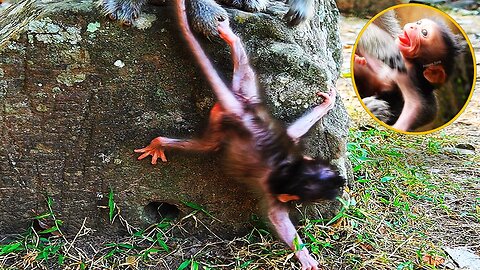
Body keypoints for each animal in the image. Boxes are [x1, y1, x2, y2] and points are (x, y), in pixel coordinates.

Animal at [134, 0, 344, 268]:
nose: (340, 187)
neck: (290, 167)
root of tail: (240, 112)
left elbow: (293, 131)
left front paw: (325, 105)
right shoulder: (274, 189)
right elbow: (277, 218)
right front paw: (303, 254)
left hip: (247, 92)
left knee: (244, 69)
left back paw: (231, 38)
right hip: (222, 120)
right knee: (208, 146)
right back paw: (160, 142)